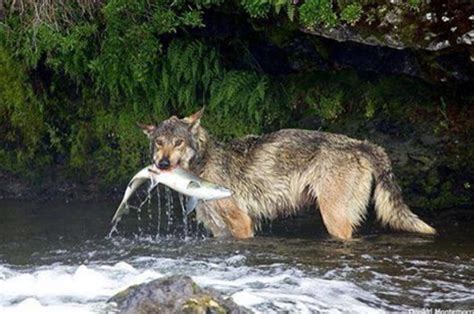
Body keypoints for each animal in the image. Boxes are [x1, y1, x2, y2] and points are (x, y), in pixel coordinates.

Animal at [138, 108, 436, 240]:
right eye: (159, 143)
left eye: (178, 142)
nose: (162, 164)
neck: (203, 163)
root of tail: (361, 144)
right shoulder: (219, 231)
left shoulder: (242, 224)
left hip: (334, 218)